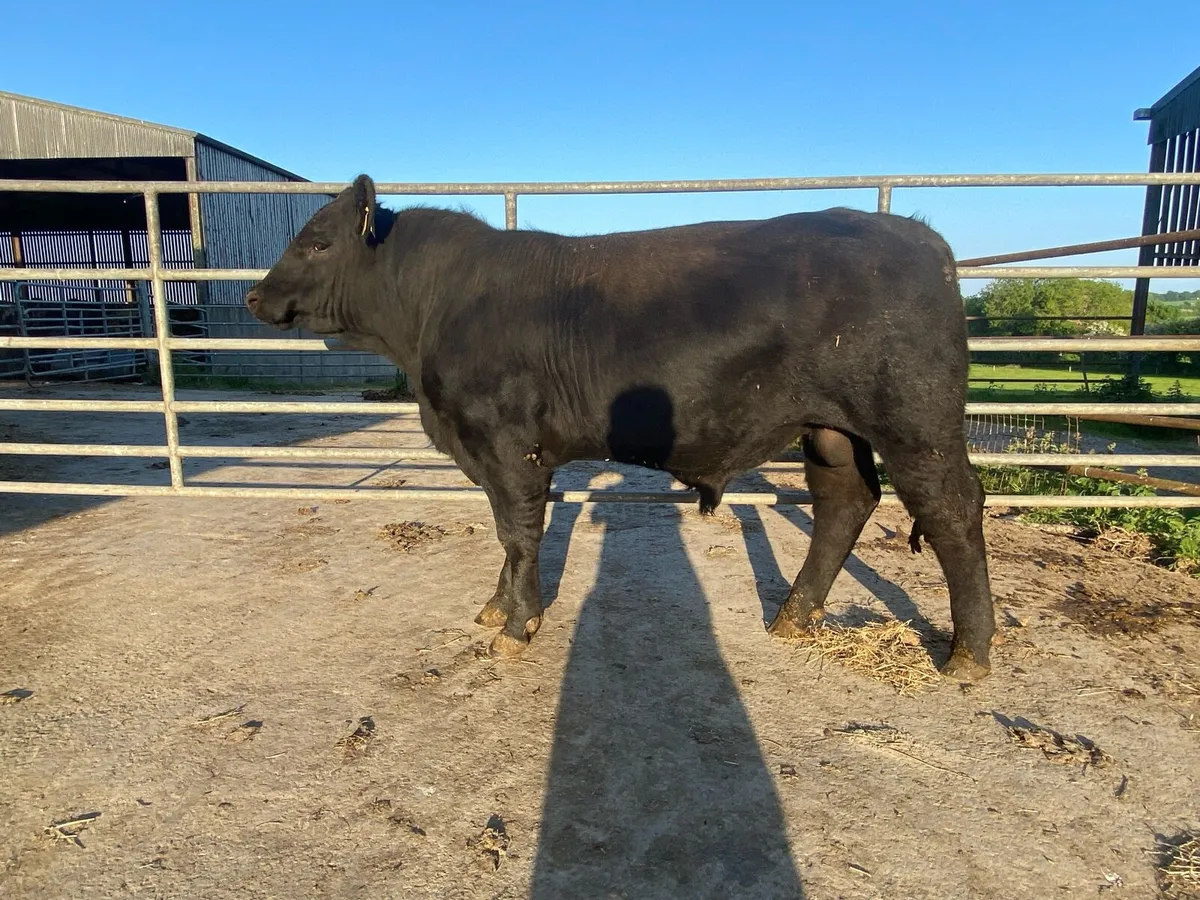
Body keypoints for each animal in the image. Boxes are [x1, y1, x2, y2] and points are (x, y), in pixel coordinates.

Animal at [246, 175, 995, 681]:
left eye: (316, 242)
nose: (254, 294)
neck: (434, 309)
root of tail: (923, 238)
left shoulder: (507, 445)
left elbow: (519, 532)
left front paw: (516, 624)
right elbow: (507, 532)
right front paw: (496, 607)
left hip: (915, 420)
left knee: (953, 508)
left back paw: (969, 652)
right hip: (830, 428)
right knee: (845, 502)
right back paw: (792, 616)